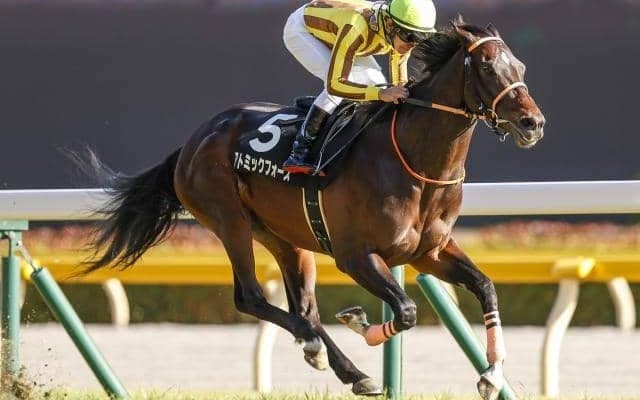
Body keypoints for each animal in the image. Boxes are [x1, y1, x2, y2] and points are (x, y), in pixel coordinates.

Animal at [79, 16, 544, 400]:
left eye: (521, 68)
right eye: (487, 67)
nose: (533, 123)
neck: (415, 162)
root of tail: (192, 142)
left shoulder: (428, 252)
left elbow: (485, 286)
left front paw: (491, 375)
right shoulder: (356, 257)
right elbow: (407, 311)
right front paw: (359, 322)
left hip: (286, 238)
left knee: (301, 307)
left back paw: (335, 359)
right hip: (228, 220)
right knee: (251, 297)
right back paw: (329, 353)